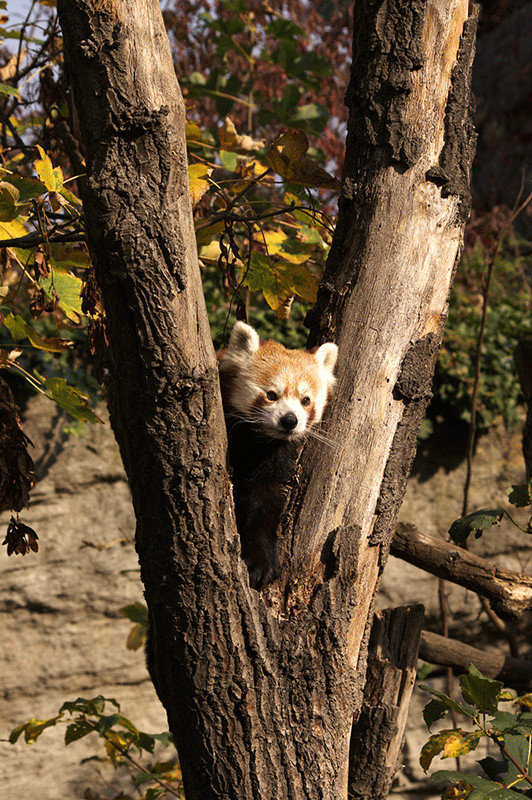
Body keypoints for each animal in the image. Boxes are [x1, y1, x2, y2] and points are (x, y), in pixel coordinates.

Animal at [219, 322, 336, 592]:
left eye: (306, 401)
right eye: (271, 395)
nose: (289, 421)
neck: (257, 442)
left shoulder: (275, 461)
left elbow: (265, 503)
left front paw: (260, 563)